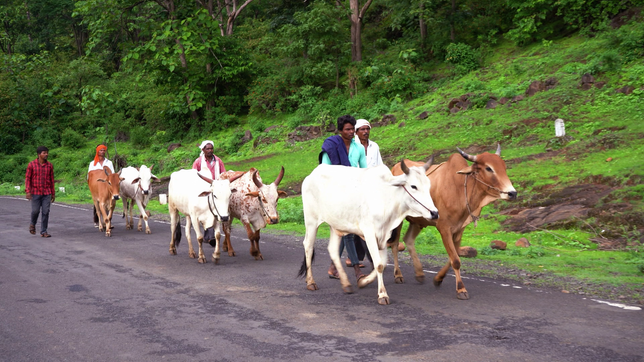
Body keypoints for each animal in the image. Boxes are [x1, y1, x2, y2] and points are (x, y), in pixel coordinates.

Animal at [296, 160, 438, 304]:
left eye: (428, 185)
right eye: (413, 186)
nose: (434, 213)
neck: (387, 197)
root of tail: (312, 174)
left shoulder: (383, 236)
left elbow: (383, 263)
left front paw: (363, 281)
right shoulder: (369, 233)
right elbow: (379, 265)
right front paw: (382, 295)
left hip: (336, 224)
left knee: (333, 250)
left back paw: (346, 284)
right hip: (311, 221)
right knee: (308, 246)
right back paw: (311, 282)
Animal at [388, 144, 520, 300]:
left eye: (504, 167)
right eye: (489, 168)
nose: (512, 193)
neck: (459, 190)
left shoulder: (459, 229)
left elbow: (453, 257)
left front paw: (438, 279)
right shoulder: (443, 228)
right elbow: (456, 260)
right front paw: (461, 289)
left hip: (418, 221)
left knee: (408, 240)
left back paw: (419, 273)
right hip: (397, 220)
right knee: (394, 244)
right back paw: (398, 275)